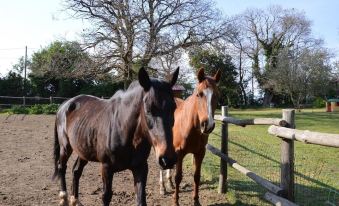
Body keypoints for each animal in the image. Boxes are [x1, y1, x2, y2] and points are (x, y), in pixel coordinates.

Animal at [52, 67, 179, 206]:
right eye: (149, 109)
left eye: (174, 107)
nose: (167, 159)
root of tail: (65, 105)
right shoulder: (107, 167)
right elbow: (106, 196)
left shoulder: (140, 167)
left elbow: (141, 199)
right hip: (65, 147)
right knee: (62, 167)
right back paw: (63, 198)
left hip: (83, 150)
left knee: (76, 171)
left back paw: (75, 200)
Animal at [160, 68, 222, 205]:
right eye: (199, 94)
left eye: (217, 95)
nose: (208, 125)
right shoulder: (179, 153)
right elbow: (178, 177)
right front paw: (176, 201)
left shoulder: (200, 152)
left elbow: (196, 176)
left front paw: (196, 201)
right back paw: (162, 188)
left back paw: (169, 184)